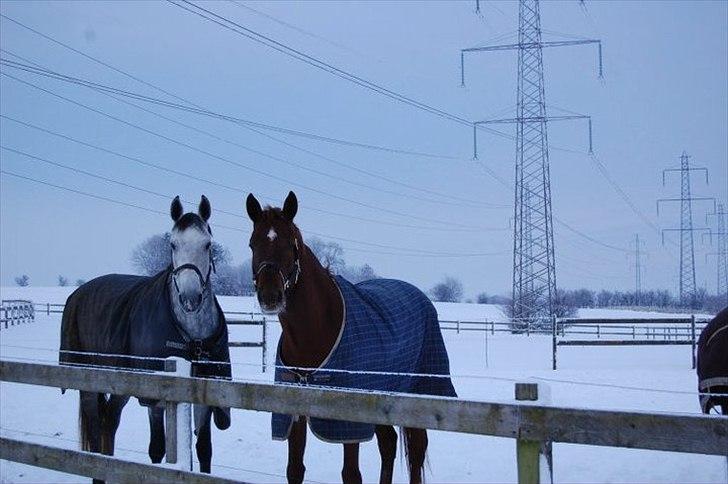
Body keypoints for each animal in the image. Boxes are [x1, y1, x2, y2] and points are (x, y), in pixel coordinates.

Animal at [60, 194, 232, 480]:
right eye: (172, 244)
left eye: (207, 244)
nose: (190, 297)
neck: (192, 338)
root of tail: (77, 294)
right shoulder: (156, 398)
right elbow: (157, 448)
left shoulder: (206, 395)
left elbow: (204, 449)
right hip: (87, 381)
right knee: (96, 430)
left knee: (110, 422)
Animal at [247, 191, 458, 482]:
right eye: (252, 244)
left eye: (291, 244)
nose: (270, 296)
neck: (315, 332)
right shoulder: (294, 413)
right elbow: (295, 469)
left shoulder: (349, 419)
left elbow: (350, 474)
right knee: (388, 444)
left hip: (418, 394)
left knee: (416, 452)